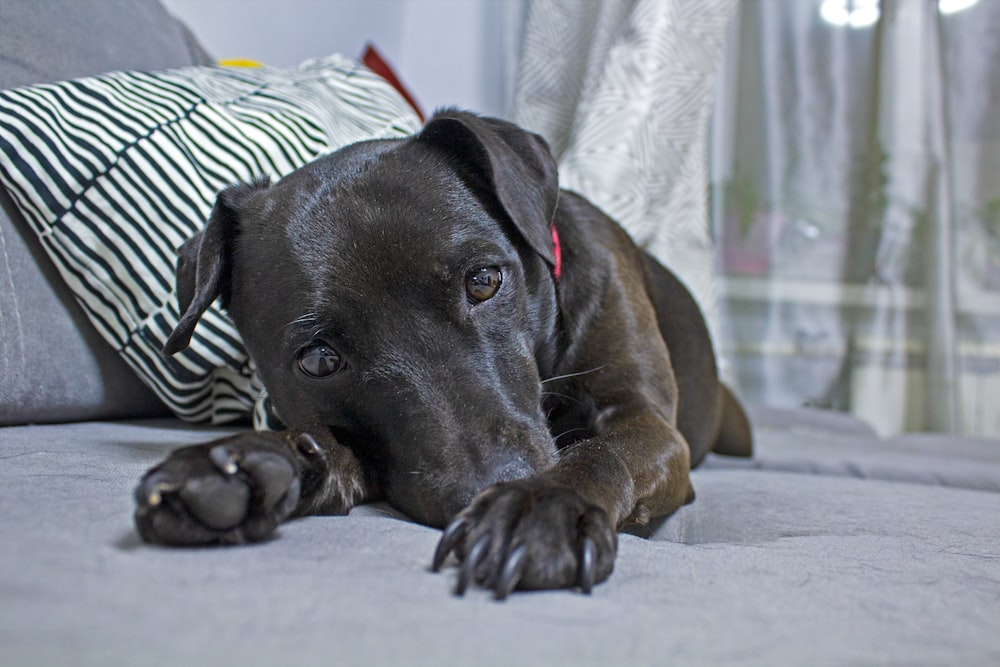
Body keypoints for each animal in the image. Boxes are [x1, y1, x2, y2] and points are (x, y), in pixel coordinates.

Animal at [133, 109, 752, 600]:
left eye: (483, 281)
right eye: (318, 360)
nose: (490, 485)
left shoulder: (647, 422)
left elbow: (603, 452)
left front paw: (541, 506)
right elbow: (332, 442)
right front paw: (248, 466)